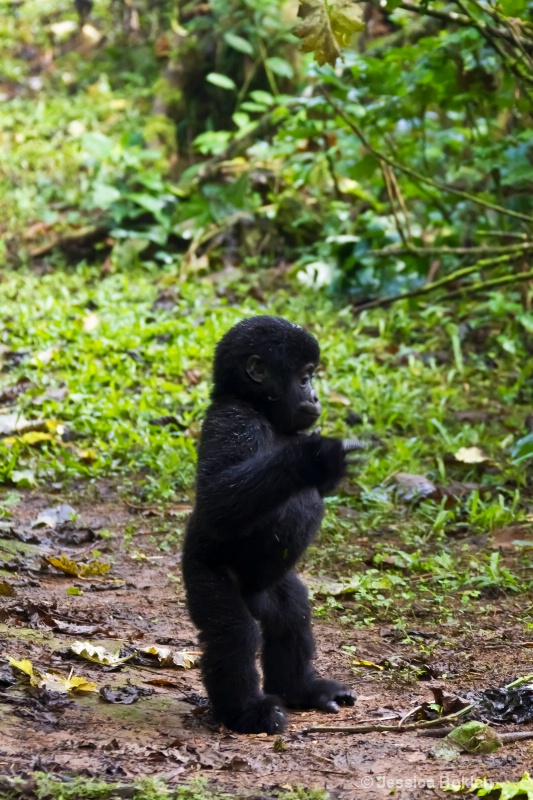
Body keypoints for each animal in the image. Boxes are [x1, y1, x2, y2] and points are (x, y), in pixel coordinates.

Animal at [182, 316, 354, 736]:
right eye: (305, 377)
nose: (316, 396)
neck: (258, 406)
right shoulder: (234, 421)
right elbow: (217, 498)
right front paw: (310, 460)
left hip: (267, 588)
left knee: (290, 611)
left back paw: (299, 689)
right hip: (204, 573)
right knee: (234, 633)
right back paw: (246, 713)